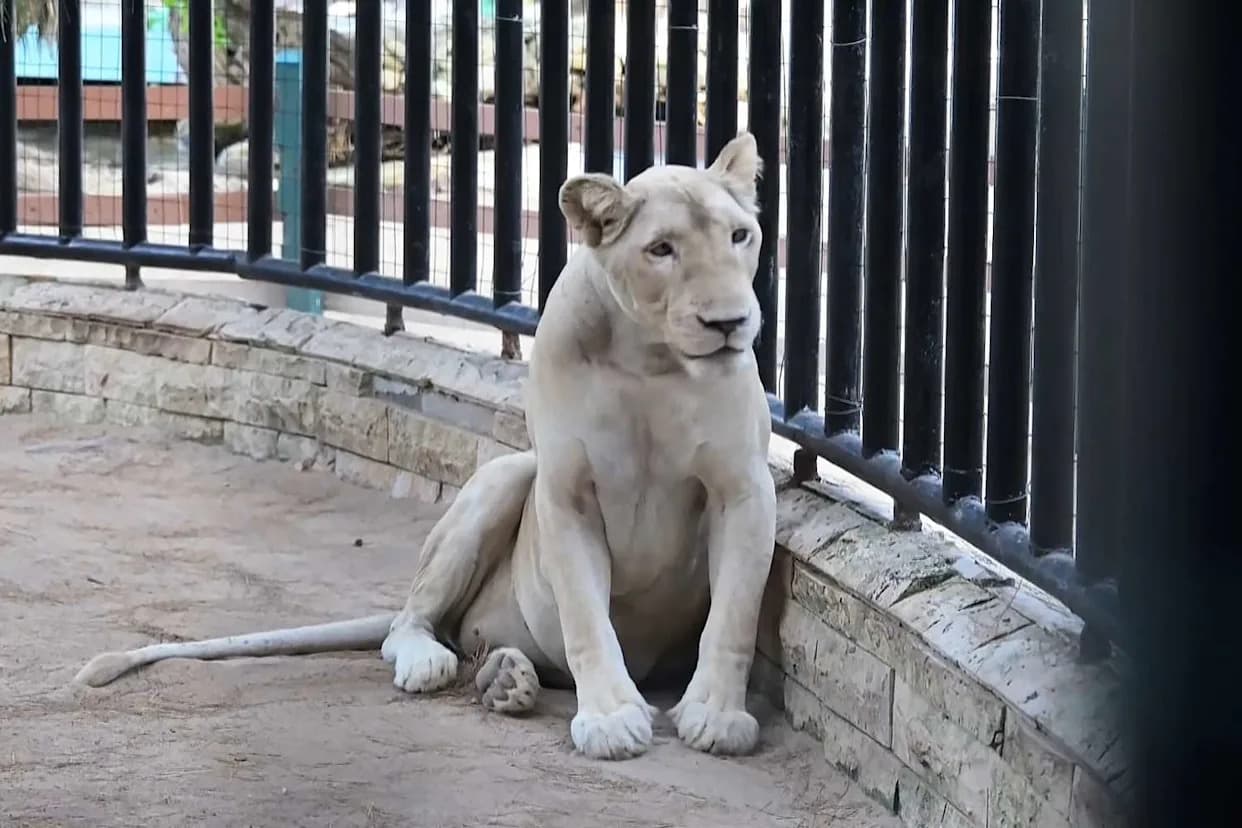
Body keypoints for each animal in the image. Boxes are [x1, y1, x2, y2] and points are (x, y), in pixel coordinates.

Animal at [74, 132, 778, 761]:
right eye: (662, 249)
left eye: (740, 237)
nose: (728, 323)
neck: (651, 359)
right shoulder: (565, 494)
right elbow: (586, 619)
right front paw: (610, 719)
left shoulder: (743, 490)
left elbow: (735, 614)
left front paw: (716, 716)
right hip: (504, 479)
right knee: (407, 626)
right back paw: (445, 666)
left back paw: (505, 679)